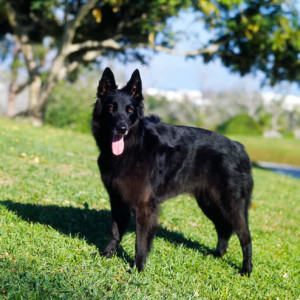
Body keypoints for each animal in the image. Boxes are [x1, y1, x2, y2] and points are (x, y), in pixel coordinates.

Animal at [92, 67, 253, 274]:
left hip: (231, 206)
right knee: (224, 228)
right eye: (111, 108)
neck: (133, 147)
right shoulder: (117, 199)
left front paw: (138, 267)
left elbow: (140, 241)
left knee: (245, 236)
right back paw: (217, 254)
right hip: (210, 203)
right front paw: (108, 254)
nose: (122, 129)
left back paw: (246, 269)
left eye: (129, 110)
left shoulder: (144, 205)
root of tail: (240, 148)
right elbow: (115, 231)